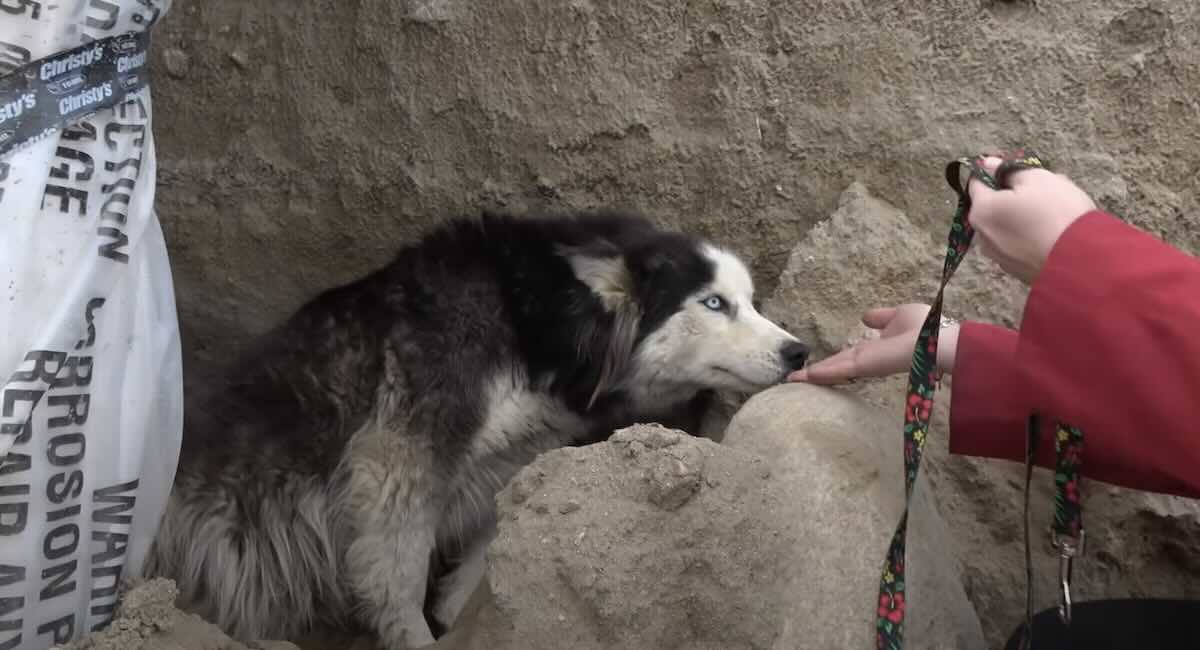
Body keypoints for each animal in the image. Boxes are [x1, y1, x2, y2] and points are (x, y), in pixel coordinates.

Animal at [145, 211, 811, 647]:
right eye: (714, 303)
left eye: (751, 301)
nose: (798, 351)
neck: (542, 326)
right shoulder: (400, 452)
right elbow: (396, 575)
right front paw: (416, 635)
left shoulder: (514, 452)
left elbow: (490, 539)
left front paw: (461, 603)